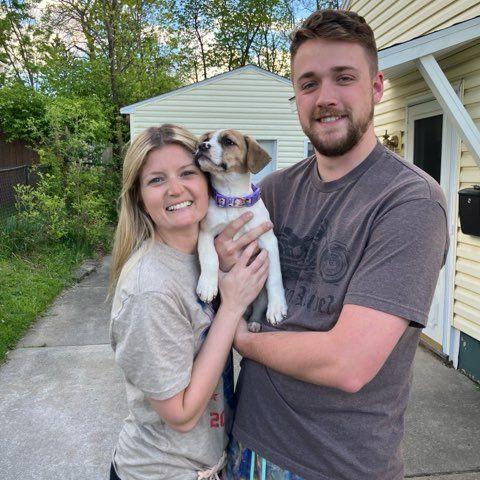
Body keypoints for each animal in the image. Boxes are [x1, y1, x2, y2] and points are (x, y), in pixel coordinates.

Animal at [194, 129, 288, 331]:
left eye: (228, 141)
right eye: (206, 139)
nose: (201, 146)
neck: (232, 200)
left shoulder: (269, 241)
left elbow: (275, 277)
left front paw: (277, 308)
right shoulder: (205, 233)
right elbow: (210, 257)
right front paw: (207, 286)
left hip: (260, 297)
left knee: (258, 308)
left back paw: (254, 323)